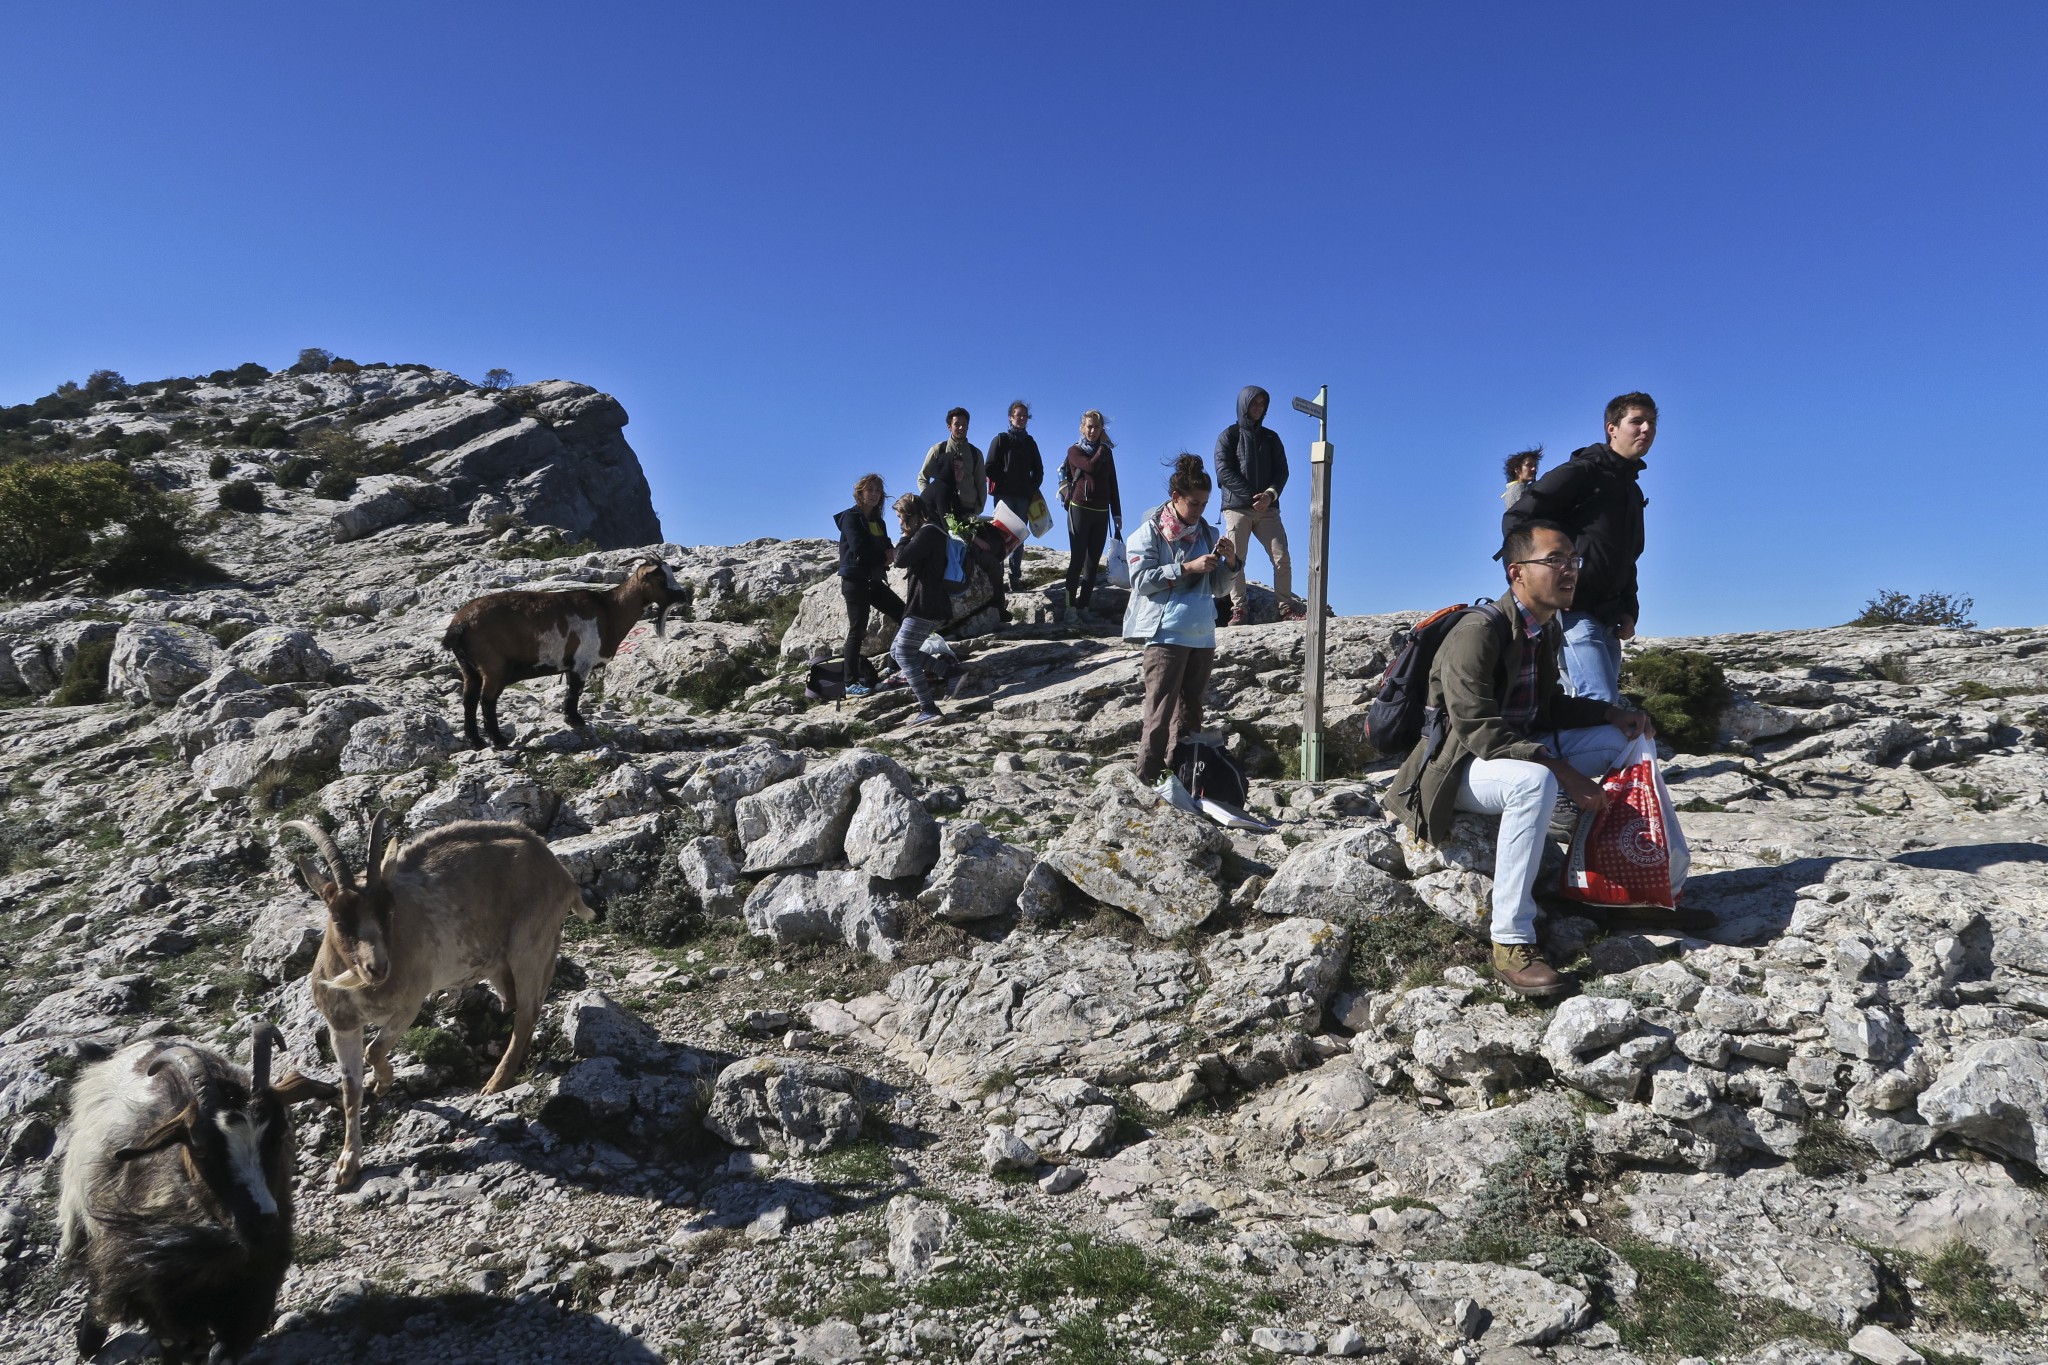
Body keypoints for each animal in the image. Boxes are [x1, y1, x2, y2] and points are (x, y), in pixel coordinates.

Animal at [58, 1031, 335, 1358]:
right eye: (200, 1148)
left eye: (279, 1134)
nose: (261, 1222)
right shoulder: (157, 1298)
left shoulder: (252, 1295)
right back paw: (88, 1339)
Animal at [278, 810, 593, 1186]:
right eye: (338, 918)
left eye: (388, 910)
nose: (377, 967)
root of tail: (558, 870)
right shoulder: (343, 1026)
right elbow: (350, 1091)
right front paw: (347, 1166)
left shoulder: (409, 1005)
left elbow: (375, 1050)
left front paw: (383, 1083)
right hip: (503, 965)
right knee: (517, 1004)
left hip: (531, 945)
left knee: (528, 1013)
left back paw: (494, 1083)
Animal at [440, 556, 688, 749]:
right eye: (660, 577)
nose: (681, 596)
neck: (610, 609)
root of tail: (460, 623)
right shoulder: (582, 661)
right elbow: (574, 692)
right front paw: (577, 720)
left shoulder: (571, 664)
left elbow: (569, 691)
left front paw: (570, 719)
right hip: (494, 667)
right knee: (487, 700)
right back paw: (499, 740)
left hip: (469, 668)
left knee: (469, 699)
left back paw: (476, 741)